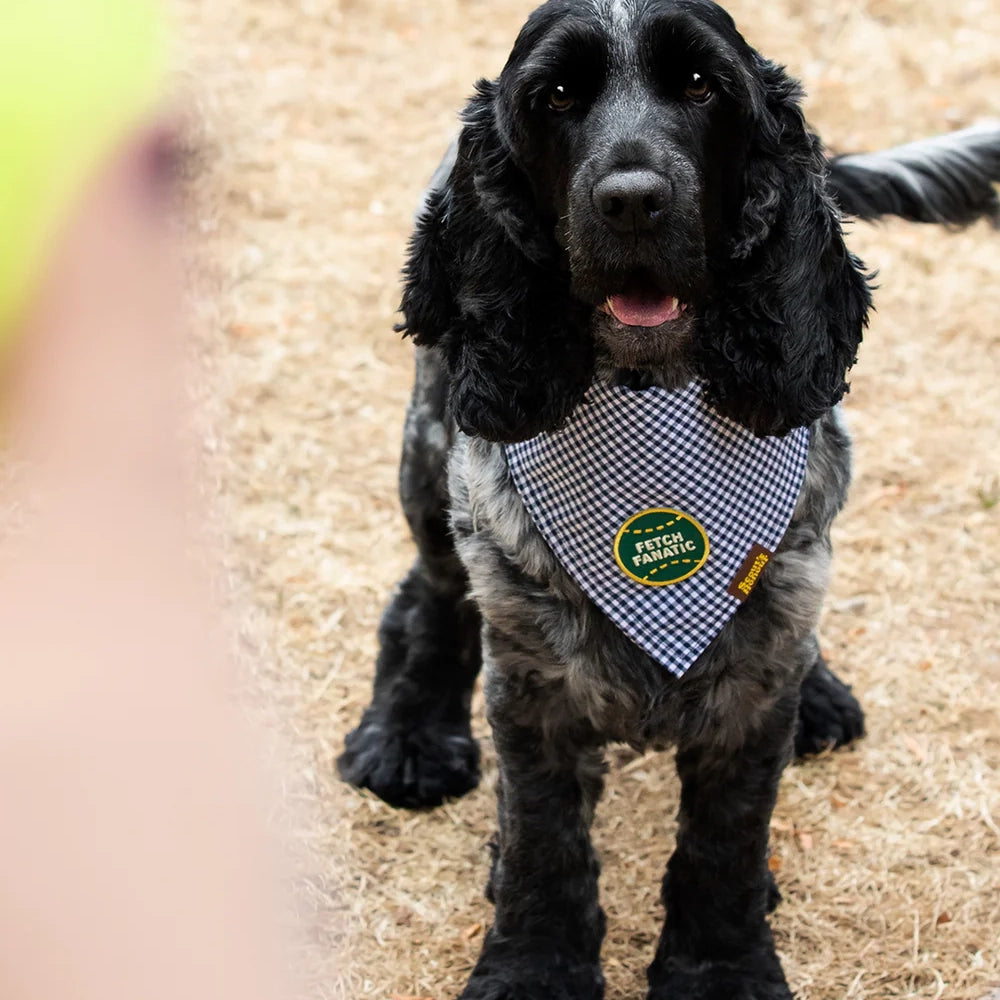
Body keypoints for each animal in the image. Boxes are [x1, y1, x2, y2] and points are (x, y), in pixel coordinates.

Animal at [338, 3, 1000, 996]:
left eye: (701, 86)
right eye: (555, 95)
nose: (633, 200)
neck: (651, 397)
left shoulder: (756, 685)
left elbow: (726, 842)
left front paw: (721, 968)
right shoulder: (531, 681)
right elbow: (543, 842)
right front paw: (532, 967)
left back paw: (823, 696)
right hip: (430, 453)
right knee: (427, 594)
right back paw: (407, 735)